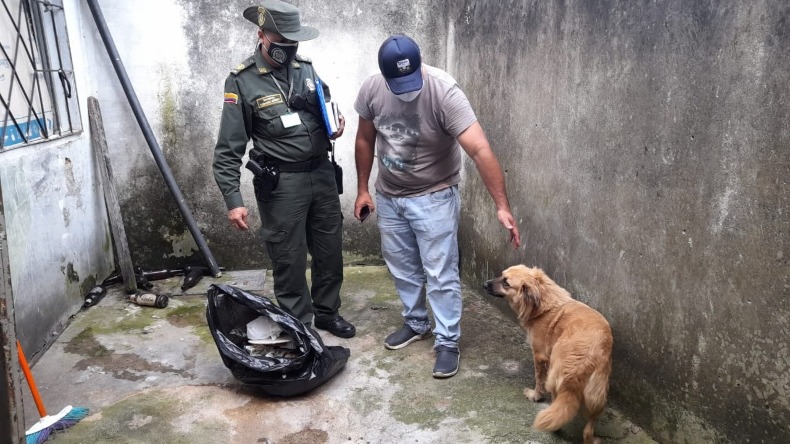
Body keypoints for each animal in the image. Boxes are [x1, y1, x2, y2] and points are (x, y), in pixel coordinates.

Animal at [486, 266, 616, 442]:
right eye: (501, 275)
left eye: (506, 283)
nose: (484, 284)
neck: (543, 302)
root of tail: (582, 362)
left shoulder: (539, 355)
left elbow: (538, 379)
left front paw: (535, 396)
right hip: (597, 395)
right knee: (587, 430)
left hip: (557, 380)